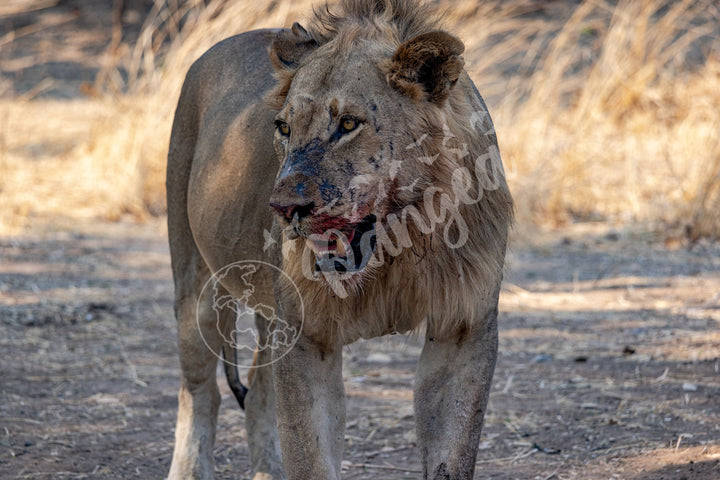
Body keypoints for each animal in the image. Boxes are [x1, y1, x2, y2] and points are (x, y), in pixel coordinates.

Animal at [166, 0, 516, 480]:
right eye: (283, 128)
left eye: (348, 123)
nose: (283, 208)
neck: (398, 249)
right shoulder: (306, 335)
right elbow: (309, 454)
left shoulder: (463, 328)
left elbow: (452, 455)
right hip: (194, 282)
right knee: (200, 392)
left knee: (256, 395)